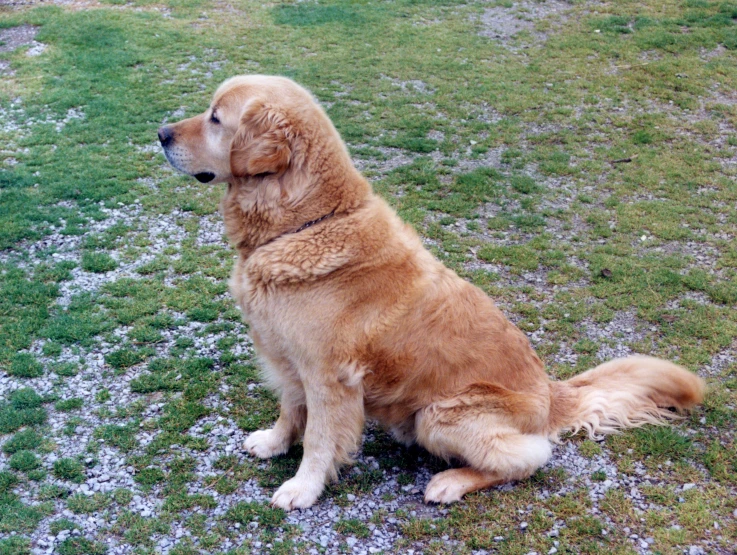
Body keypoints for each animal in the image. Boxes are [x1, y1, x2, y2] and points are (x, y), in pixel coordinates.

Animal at [158, 76, 704, 510]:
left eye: (215, 118)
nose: (160, 134)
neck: (305, 223)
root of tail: (552, 394)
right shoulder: (289, 358)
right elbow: (290, 411)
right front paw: (274, 443)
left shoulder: (330, 377)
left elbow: (317, 439)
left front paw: (302, 488)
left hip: (439, 416)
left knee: (531, 458)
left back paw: (452, 482)